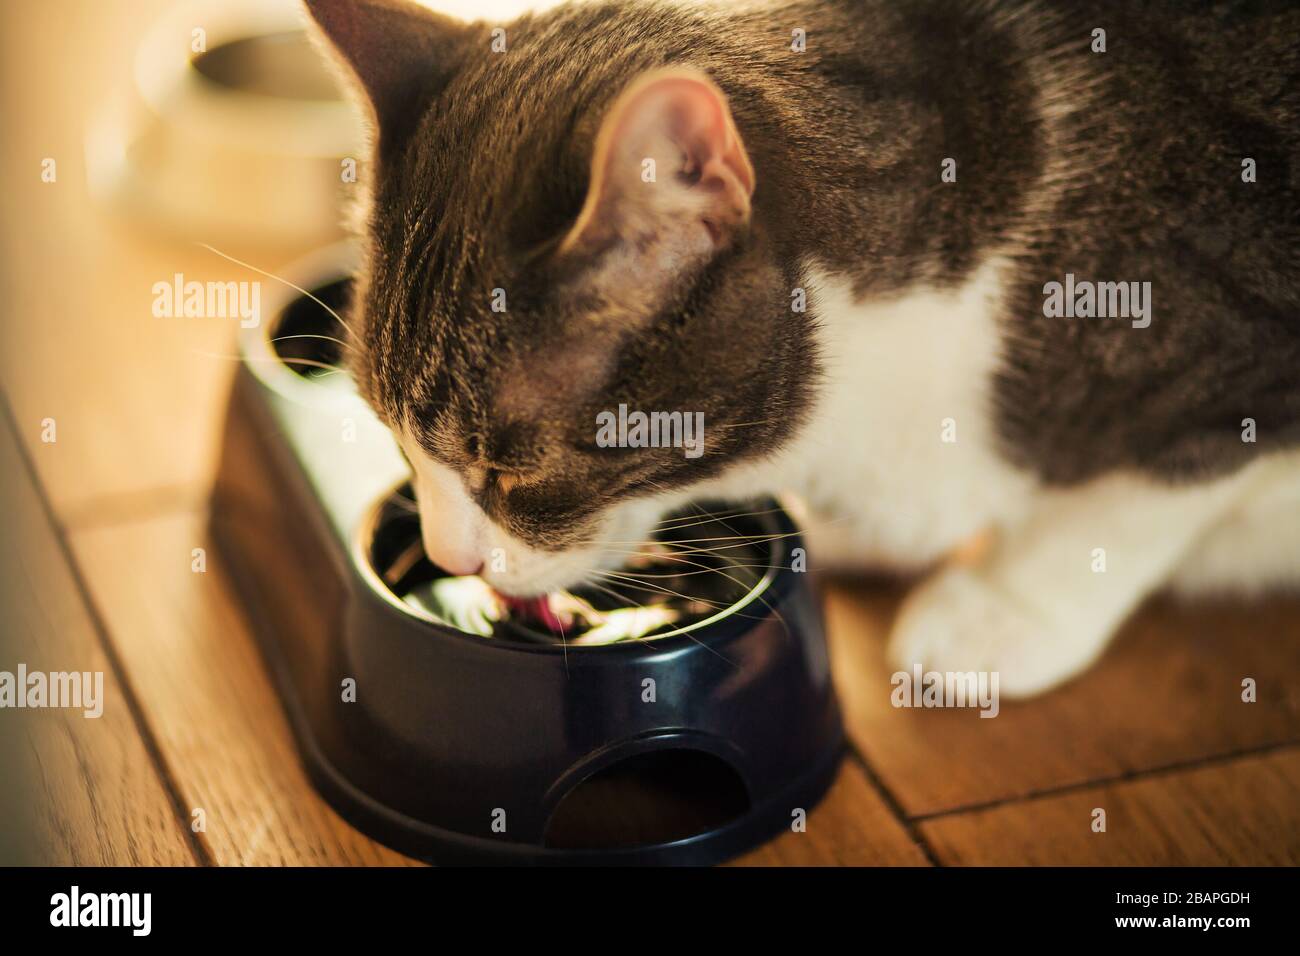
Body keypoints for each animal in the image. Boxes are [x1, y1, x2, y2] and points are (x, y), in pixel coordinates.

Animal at [304, 0, 1300, 697]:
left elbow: (1118, 512)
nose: (449, 560)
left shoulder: (1236, 371)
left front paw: (999, 614)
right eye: (388, 435)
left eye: (512, 474)